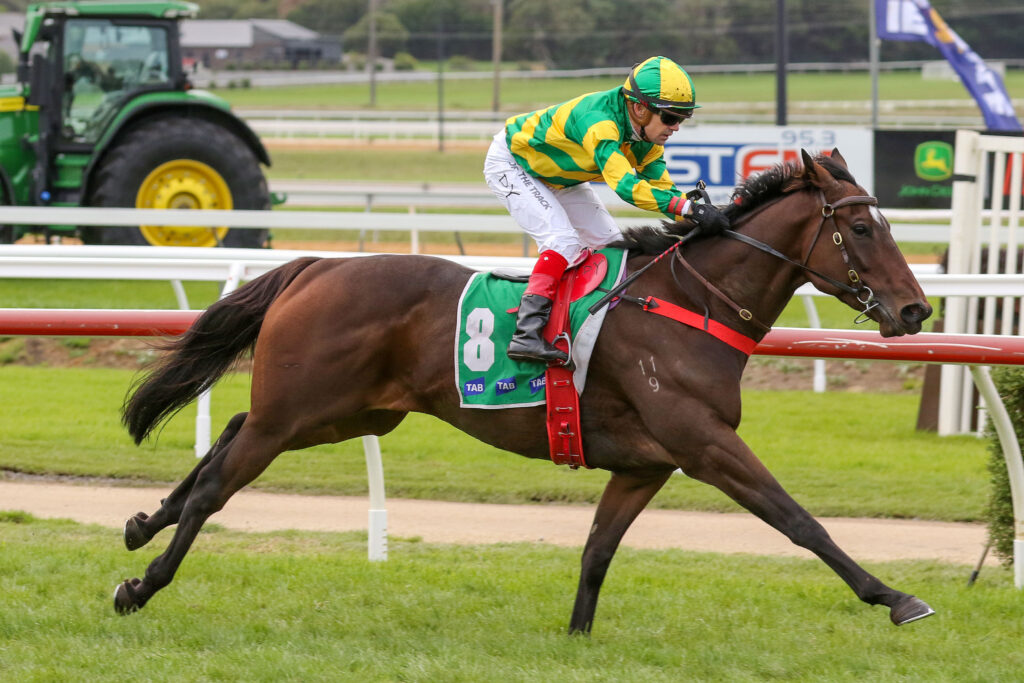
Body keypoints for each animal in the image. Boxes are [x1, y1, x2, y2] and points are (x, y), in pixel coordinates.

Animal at [114, 149, 935, 632]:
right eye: (863, 228)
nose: (915, 311)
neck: (685, 302)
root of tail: (314, 265)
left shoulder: (646, 463)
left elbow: (598, 551)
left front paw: (576, 636)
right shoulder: (704, 443)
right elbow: (798, 520)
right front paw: (895, 598)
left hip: (343, 412)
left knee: (228, 432)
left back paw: (144, 522)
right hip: (301, 411)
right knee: (220, 479)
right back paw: (142, 583)